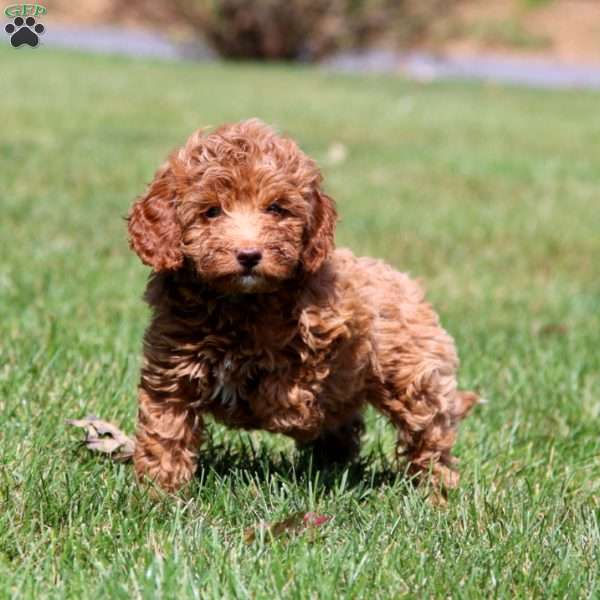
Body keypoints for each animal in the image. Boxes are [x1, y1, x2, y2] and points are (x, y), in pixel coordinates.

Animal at [127, 119, 478, 494]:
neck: (241, 303)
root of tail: (407, 282)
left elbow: (292, 384)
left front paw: (282, 407)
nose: (248, 255)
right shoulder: (172, 370)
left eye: (276, 208)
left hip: (413, 376)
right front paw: (159, 493)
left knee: (429, 431)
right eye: (210, 212)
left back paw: (437, 490)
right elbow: (165, 432)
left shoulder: (331, 331)